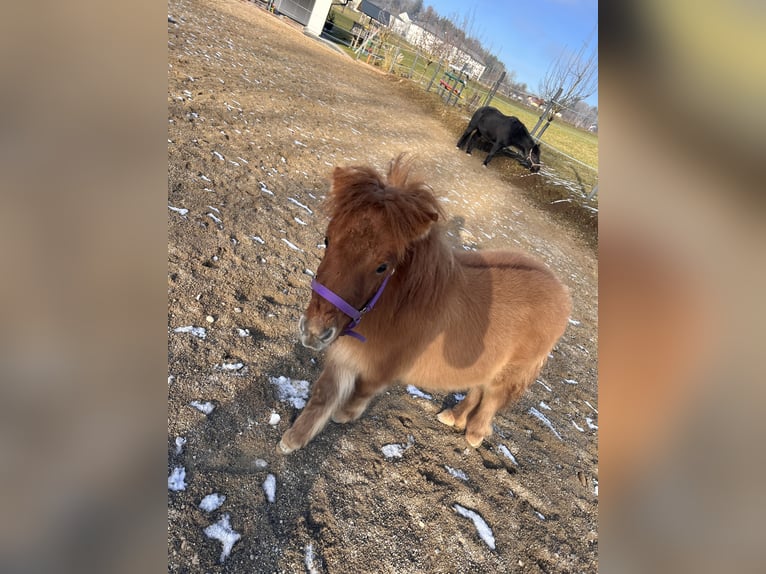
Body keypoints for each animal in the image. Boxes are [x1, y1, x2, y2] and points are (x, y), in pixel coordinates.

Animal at [278, 155, 570, 454]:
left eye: (383, 266)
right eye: (327, 240)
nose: (314, 332)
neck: (399, 308)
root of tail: (560, 290)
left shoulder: (382, 369)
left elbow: (362, 391)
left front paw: (344, 415)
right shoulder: (343, 355)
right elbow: (323, 394)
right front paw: (293, 440)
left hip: (508, 373)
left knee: (491, 398)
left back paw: (475, 433)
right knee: (477, 389)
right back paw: (454, 417)